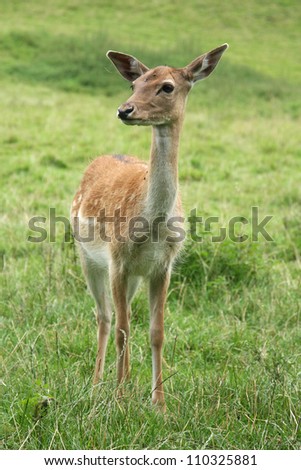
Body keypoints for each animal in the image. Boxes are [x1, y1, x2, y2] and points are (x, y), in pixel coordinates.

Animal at [71, 45, 227, 412]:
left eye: (166, 87)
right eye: (134, 84)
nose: (124, 110)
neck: (151, 225)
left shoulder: (162, 266)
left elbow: (157, 332)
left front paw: (159, 404)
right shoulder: (117, 259)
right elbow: (122, 329)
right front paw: (120, 398)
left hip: (132, 277)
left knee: (118, 314)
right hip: (87, 256)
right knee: (105, 317)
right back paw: (98, 384)